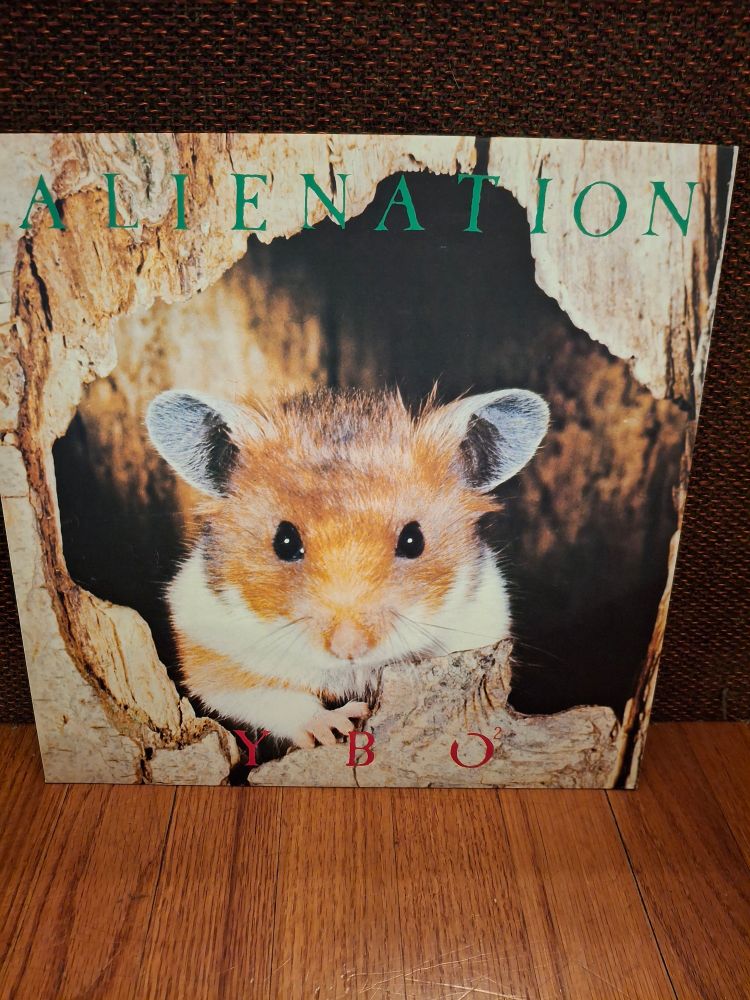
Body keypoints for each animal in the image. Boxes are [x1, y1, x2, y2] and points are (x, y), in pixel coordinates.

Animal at [146, 385, 549, 749]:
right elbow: (264, 695)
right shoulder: (211, 647)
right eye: (284, 541)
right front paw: (337, 726)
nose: (348, 648)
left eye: (413, 540)